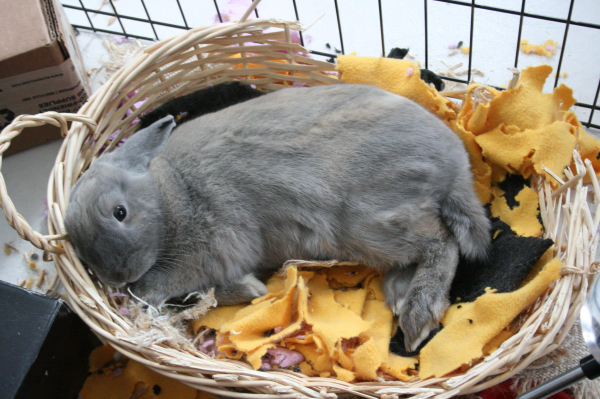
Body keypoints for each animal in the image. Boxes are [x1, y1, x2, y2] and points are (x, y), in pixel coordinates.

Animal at [65, 84, 490, 350]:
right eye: (74, 242)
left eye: (120, 212)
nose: (116, 277)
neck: (171, 194)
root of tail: (457, 166)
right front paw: (248, 289)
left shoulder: (207, 249)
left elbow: (164, 285)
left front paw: (248, 290)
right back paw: (400, 294)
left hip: (373, 221)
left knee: (441, 240)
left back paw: (418, 312)